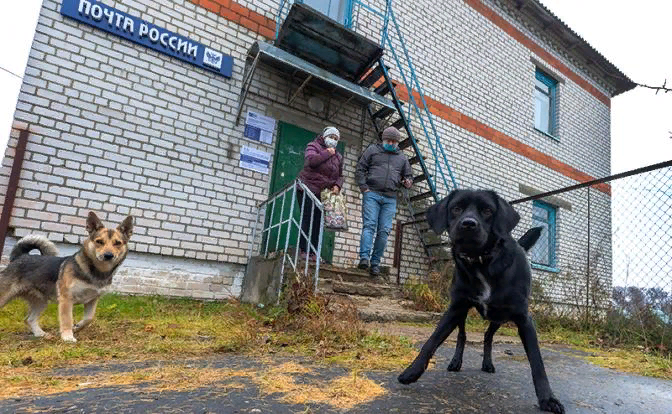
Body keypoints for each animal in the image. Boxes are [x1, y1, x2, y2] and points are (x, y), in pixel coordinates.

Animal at [400, 189, 568, 412]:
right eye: (456, 208)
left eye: (488, 210)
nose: (468, 224)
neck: (481, 262)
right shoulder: (456, 308)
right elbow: (431, 341)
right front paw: (412, 372)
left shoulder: (524, 319)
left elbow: (537, 361)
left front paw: (548, 399)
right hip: (465, 315)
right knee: (462, 336)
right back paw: (456, 362)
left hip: (500, 317)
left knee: (488, 337)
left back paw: (487, 363)